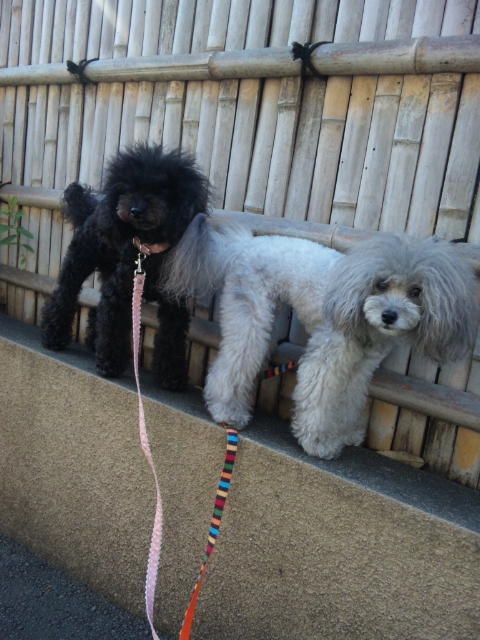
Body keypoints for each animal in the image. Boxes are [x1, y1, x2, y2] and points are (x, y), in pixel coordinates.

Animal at [40, 144, 210, 390]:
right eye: (128, 189)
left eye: (160, 191)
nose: (136, 210)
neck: (149, 249)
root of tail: (93, 208)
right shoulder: (121, 291)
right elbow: (113, 324)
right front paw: (109, 365)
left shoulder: (175, 304)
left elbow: (172, 337)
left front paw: (171, 377)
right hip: (79, 261)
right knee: (65, 295)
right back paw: (53, 337)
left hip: (109, 272)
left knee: (97, 309)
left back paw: (93, 342)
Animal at [162, 215, 479, 458]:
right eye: (381, 284)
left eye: (416, 291)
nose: (389, 316)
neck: (360, 315)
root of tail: (245, 244)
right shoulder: (326, 358)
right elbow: (319, 398)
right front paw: (318, 443)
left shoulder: (361, 366)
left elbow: (350, 397)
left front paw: (347, 432)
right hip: (250, 312)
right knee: (234, 361)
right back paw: (227, 411)